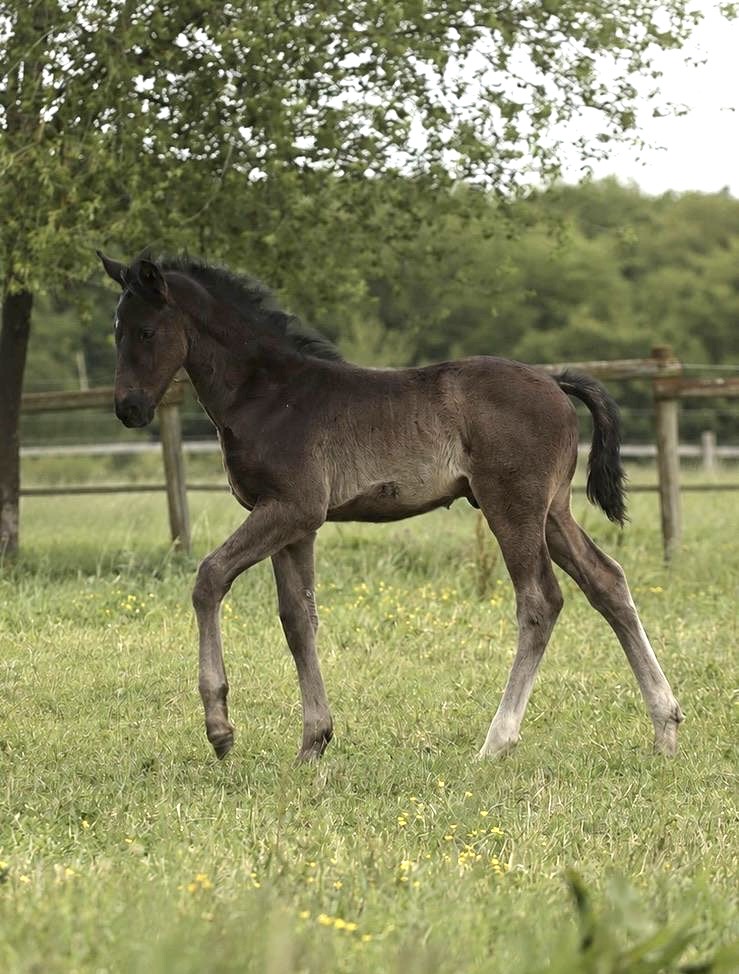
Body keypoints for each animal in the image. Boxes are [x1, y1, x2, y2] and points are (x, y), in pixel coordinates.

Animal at [98, 251, 683, 762]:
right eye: (115, 331)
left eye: (146, 332)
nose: (128, 409)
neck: (268, 394)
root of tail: (553, 380)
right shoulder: (296, 526)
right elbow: (297, 619)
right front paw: (313, 743)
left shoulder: (290, 508)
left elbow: (210, 578)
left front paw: (220, 729)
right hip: (553, 512)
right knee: (606, 581)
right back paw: (666, 727)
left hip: (512, 507)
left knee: (540, 601)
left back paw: (496, 742)